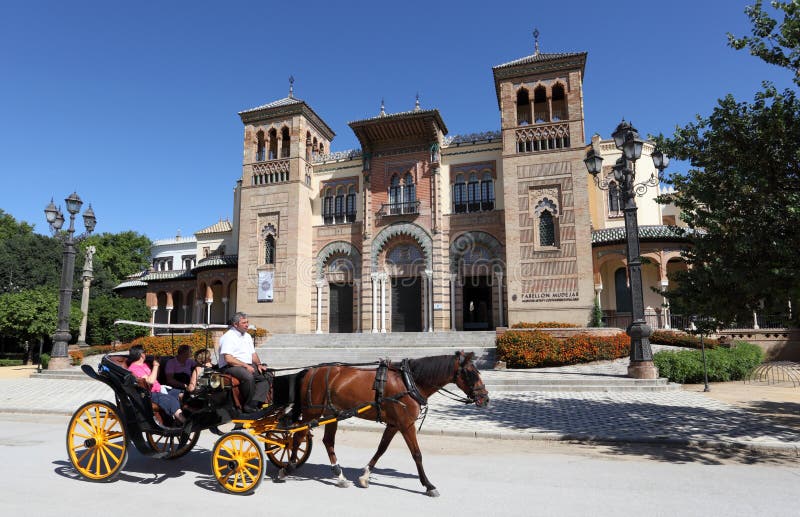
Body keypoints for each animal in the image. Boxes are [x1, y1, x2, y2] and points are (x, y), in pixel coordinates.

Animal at [288, 350, 488, 496]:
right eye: (471, 373)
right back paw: (287, 468)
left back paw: (340, 476)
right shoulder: (406, 424)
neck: (409, 382)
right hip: (311, 413)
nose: (485, 399)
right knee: (296, 437)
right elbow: (417, 454)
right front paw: (429, 485)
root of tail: (310, 371)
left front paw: (365, 475)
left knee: (327, 441)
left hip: (332, 413)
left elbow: (381, 448)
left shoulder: (394, 425)